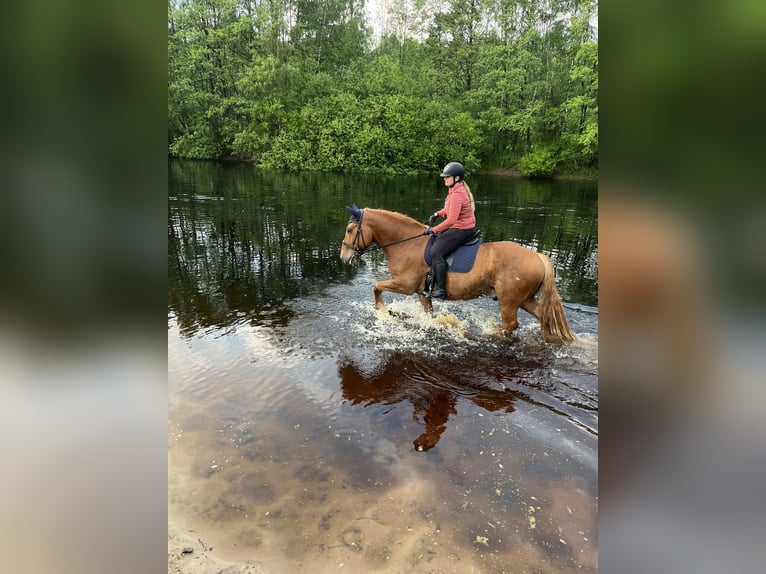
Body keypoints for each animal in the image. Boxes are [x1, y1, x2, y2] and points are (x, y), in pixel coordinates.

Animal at [339, 205, 576, 344]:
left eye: (350, 230)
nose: (344, 257)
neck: (406, 243)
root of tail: (538, 257)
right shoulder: (422, 293)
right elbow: (428, 316)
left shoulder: (404, 285)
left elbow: (376, 287)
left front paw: (382, 310)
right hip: (524, 299)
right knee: (543, 317)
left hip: (509, 301)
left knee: (510, 326)